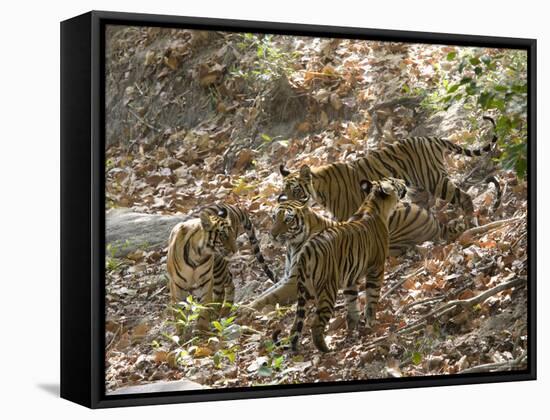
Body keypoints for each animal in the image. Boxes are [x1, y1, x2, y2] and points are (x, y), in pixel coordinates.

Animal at [166, 202, 274, 330]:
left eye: (231, 233)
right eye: (223, 235)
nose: (235, 250)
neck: (198, 254)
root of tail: (229, 206)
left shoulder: (206, 280)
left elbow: (204, 305)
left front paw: (201, 329)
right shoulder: (177, 284)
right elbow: (178, 309)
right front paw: (181, 331)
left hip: (218, 268)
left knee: (222, 289)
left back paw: (219, 312)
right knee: (228, 280)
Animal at [280, 115, 500, 220]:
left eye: (296, 191)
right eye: (284, 193)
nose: (288, 205)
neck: (319, 191)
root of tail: (431, 138)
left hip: (435, 180)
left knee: (465, 197)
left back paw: (471, 222)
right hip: (418, 188)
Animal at [282, 176, 408, 352]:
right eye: (394, 181)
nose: (404, 180)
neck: (373, 203)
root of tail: (306, 249)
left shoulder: (350, 278)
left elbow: (352, 302)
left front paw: (353, 327)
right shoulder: (376, 268)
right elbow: (372, 297)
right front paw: (371, 322)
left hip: (304, 290)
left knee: (295, 325)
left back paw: (294, 348)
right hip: (327, 289)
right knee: (316, 322)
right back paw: (325, 349)